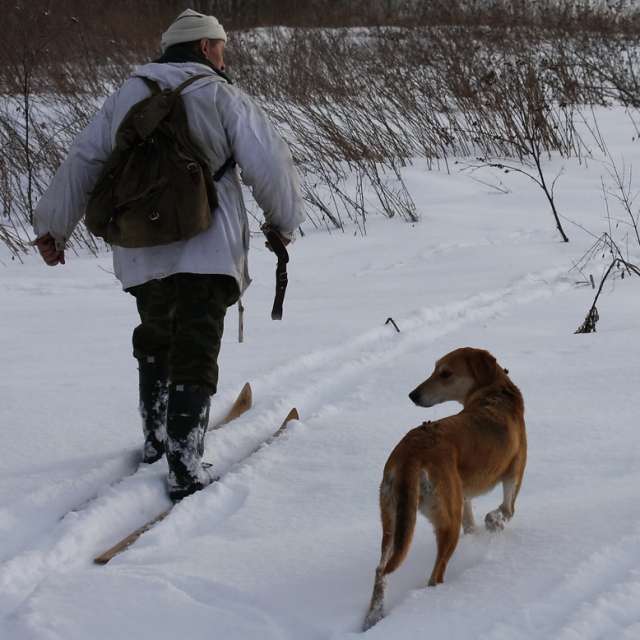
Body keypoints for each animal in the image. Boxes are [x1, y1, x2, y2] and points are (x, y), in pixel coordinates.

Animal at [362, 348, 528, 628]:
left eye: (445, 372)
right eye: (436, 370)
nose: (413, 395)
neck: (494, 391)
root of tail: (410, 454)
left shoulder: (464, 496)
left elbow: (471, 523)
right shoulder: (513, 475)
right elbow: (505, 510)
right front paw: (493, 522)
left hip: (393, 520)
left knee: (381, 571)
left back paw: (373, 617)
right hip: (447, 523)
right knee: (435, 576)